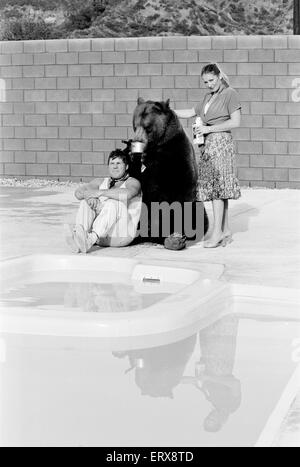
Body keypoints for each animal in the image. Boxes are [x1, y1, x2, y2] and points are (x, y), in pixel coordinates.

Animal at [131, 97, 209, 247]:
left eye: (147, 127)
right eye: (135, 125)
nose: (136, 140)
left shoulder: (176, 154)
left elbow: (181, 186)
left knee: (199, 216)